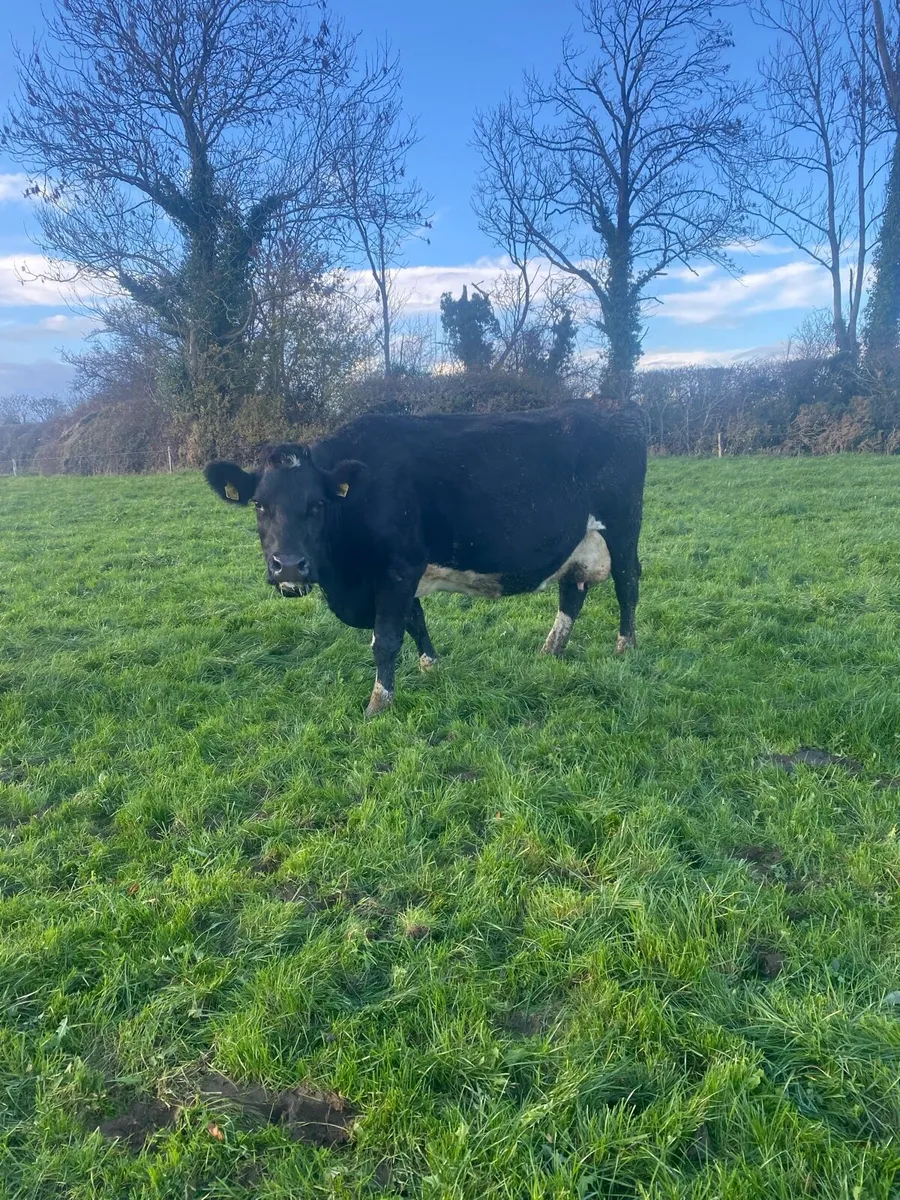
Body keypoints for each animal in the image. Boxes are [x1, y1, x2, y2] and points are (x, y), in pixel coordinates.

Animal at [205, 399, 647, 716]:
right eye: (259, 504)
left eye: (317, 504)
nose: (289, 565)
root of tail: (615, 407)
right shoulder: (398, 575)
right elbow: (415, 620)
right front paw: (431, 666)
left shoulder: (398, 567)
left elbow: (385, 639)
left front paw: (378, 704)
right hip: (578, 543)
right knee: (572, 592)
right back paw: (551, 650)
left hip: (623, 529)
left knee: (628, 584)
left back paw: (625, 646)